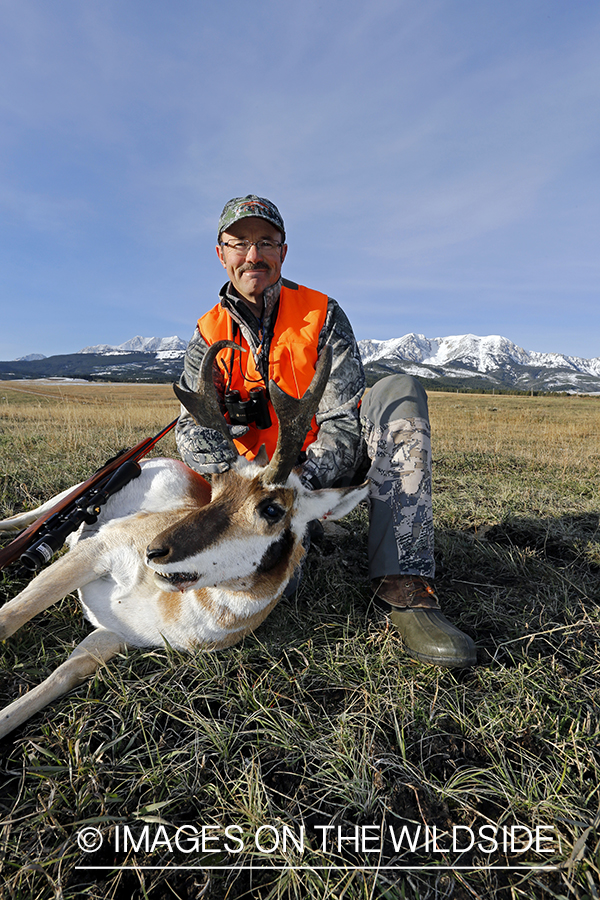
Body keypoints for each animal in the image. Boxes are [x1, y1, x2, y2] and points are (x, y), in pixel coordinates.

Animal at [0, 342, 368, 740]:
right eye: (215, 490)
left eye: (272, 509)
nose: (155, 551)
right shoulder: (97, 550)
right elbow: (10, 616)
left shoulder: (112, 637)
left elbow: (62, 675)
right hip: (69, 498)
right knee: (29, 518)